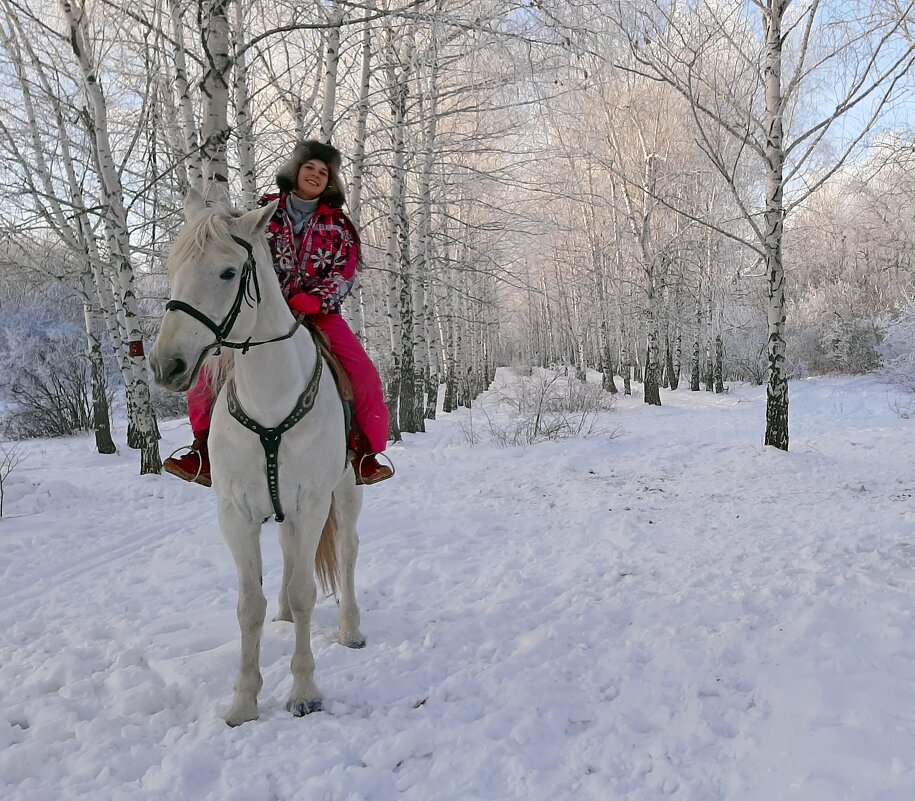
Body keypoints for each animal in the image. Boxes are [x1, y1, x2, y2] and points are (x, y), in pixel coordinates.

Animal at [150, 189, 364, 724]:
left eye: (228, 272)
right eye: (173, 266)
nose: (166, 365)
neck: (270, 396)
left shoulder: (312, 503)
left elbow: (308, 592)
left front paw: (304, 691)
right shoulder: (236, 513)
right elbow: (249, 605)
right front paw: (244, 701)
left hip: (347, 491)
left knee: (346, 551)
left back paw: (351, 628)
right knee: (289, 558)